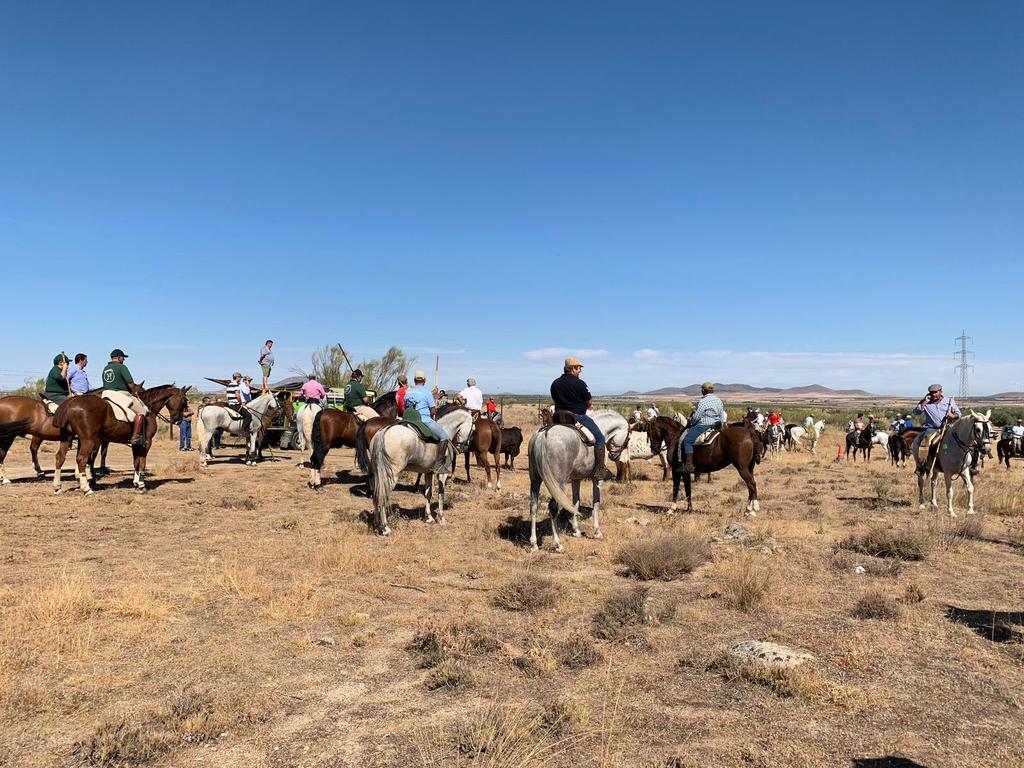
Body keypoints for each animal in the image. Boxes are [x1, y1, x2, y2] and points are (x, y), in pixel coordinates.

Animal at [51, 382, 190, 495]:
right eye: (184, 401)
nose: (178, 419)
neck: (148, 407)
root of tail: (71, 403)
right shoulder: (146, 442)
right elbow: (142, 462)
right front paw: (141, 485)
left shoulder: (136, 443)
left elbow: (136, 462)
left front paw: (136, 483)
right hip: (88, 440)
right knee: (81, 459)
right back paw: (87, 489)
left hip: (67, 438)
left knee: (60, 457)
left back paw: (58, 487)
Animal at [528, 409, 630, 552]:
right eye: (628, 439)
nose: (614, 456)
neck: (603, 428)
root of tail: (544, 434)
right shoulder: (597, 480)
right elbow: (596, 503)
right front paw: (597, 532)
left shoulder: (576, 479)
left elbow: (575, 503)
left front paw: (576, 530)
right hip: (558, 483)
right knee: (553, 507)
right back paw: (558, 544)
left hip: (535, 480)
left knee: (533, 506)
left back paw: (534, 544)